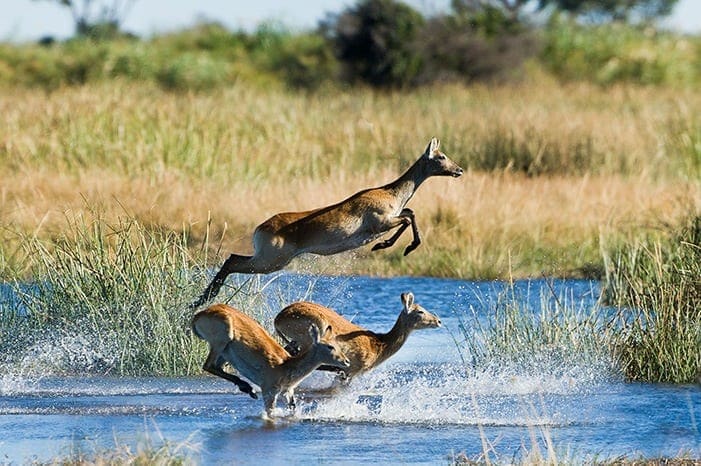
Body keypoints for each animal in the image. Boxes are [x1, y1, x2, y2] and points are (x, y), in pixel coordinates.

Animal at [190, 304, 348, 416]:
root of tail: (198, 315)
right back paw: (248, 389)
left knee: (215, 367)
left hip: (225, 352)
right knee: (207, 366)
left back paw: (248, 389)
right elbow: (270, 413)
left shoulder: (288, 392)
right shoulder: (269, 392)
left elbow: (292, 409)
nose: (346, 361)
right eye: (330, 346)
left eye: (337, 345)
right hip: (221, 341)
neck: (286, 366)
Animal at [191, 137, 462, 308]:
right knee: (232, 260)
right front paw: (392, 246)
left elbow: (410, 212)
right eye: (441, 156)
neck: (391, 193)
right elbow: (408, 216)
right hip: (270, 261)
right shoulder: (381, 223)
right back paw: (202, 299)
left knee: (232, 258)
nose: (458, 170)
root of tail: (261, 227)